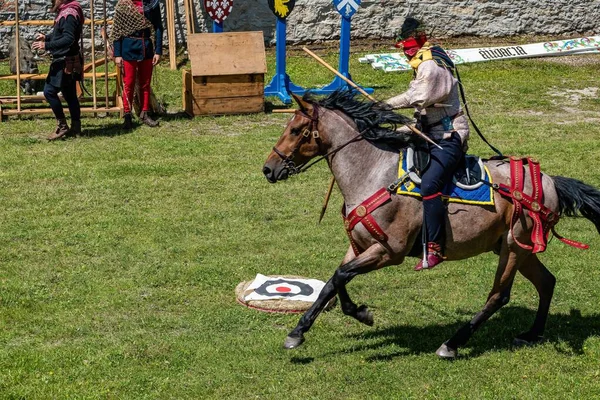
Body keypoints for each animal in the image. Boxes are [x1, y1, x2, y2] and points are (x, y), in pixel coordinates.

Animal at [262, 90, 600, 360]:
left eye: (296, 129)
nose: (268, 168)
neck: (373, 172)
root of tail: (550, 182)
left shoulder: (390, 251)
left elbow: (340, 276)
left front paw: (303, 331)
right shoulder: (359, 246)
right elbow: (335, 282)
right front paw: (343, 318)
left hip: (513, 247)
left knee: (498, 296)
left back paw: (452, 344)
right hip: (521, 249)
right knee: (547, 282)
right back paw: (532, 334)